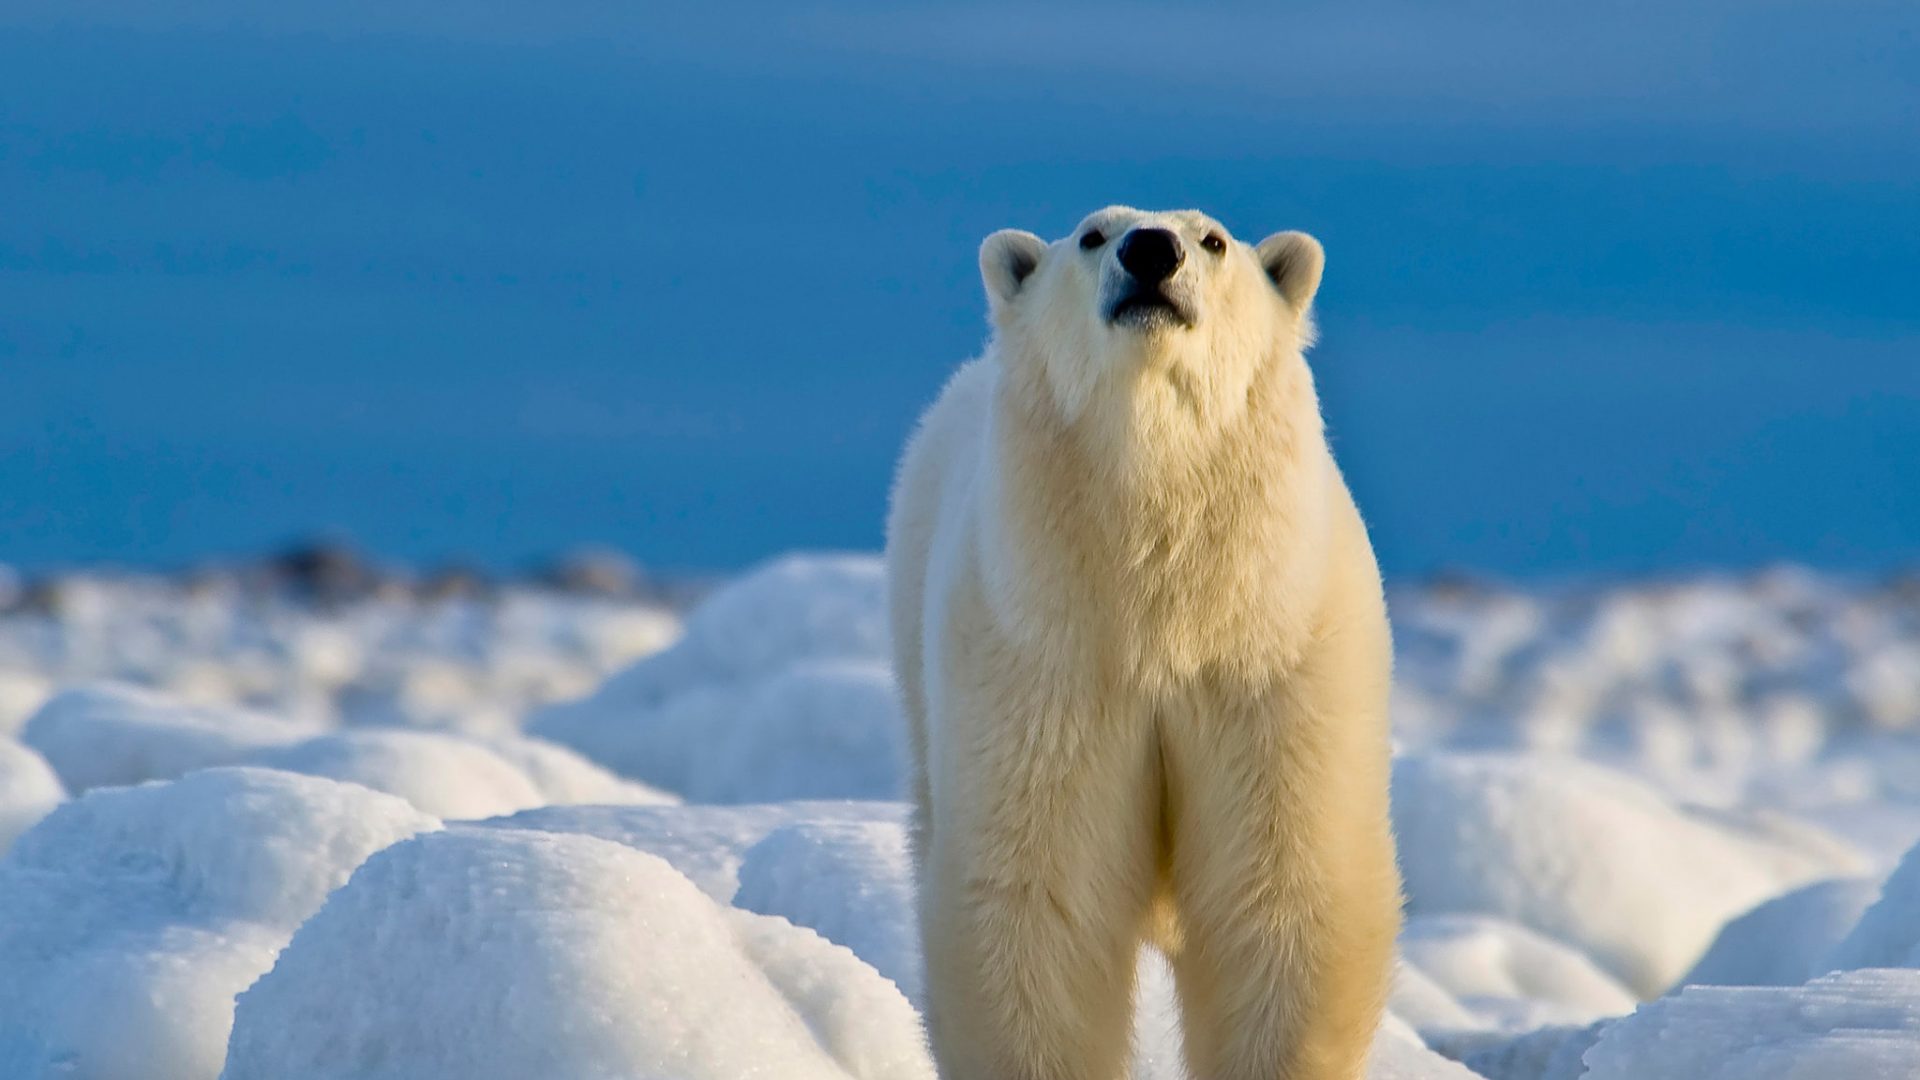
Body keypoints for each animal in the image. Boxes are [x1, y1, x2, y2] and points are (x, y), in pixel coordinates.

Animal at [886, 206, 1402, 1080]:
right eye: (1093, 235)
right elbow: (1039, 901)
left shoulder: (1271, 661)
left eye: (1215, 239)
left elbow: (1282, 898)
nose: (1151, 250)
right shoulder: (1045, 663)